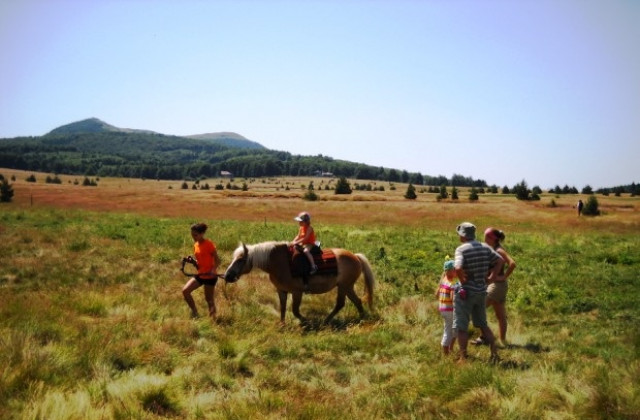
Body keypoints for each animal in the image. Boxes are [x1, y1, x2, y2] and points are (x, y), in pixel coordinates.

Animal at [225, 241, 376, 324]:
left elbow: (295, 311)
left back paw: (327, 321)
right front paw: (282, 324)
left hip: (344, 286)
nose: (227, 276)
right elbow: (283, 307)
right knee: (356, 301)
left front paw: (307, 321)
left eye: (240, 260)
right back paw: (361, 318)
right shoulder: (281, 290)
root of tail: (355, 256)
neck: (279, 263)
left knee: (341, 304)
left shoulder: (297, 292)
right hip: (347, 286)